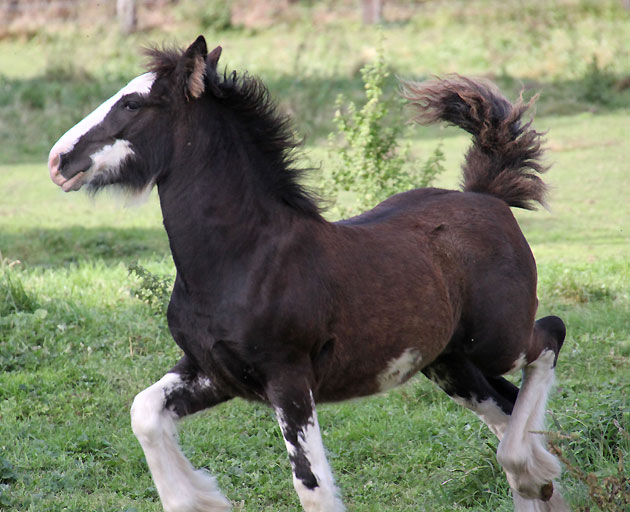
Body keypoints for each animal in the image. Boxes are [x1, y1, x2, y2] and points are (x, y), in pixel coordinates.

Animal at [48, 34, 572, 510]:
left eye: (132, 103)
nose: (58, 161)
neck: (245, 256)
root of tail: (487, 196)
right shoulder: (214, 370)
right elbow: (144, 412)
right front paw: (202, 497)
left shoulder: (289, 380)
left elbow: (312, 487)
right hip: (450, 363)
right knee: (508, 408)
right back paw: (538, 479)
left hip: (495, 341)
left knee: (548, 336)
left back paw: (531, 470)